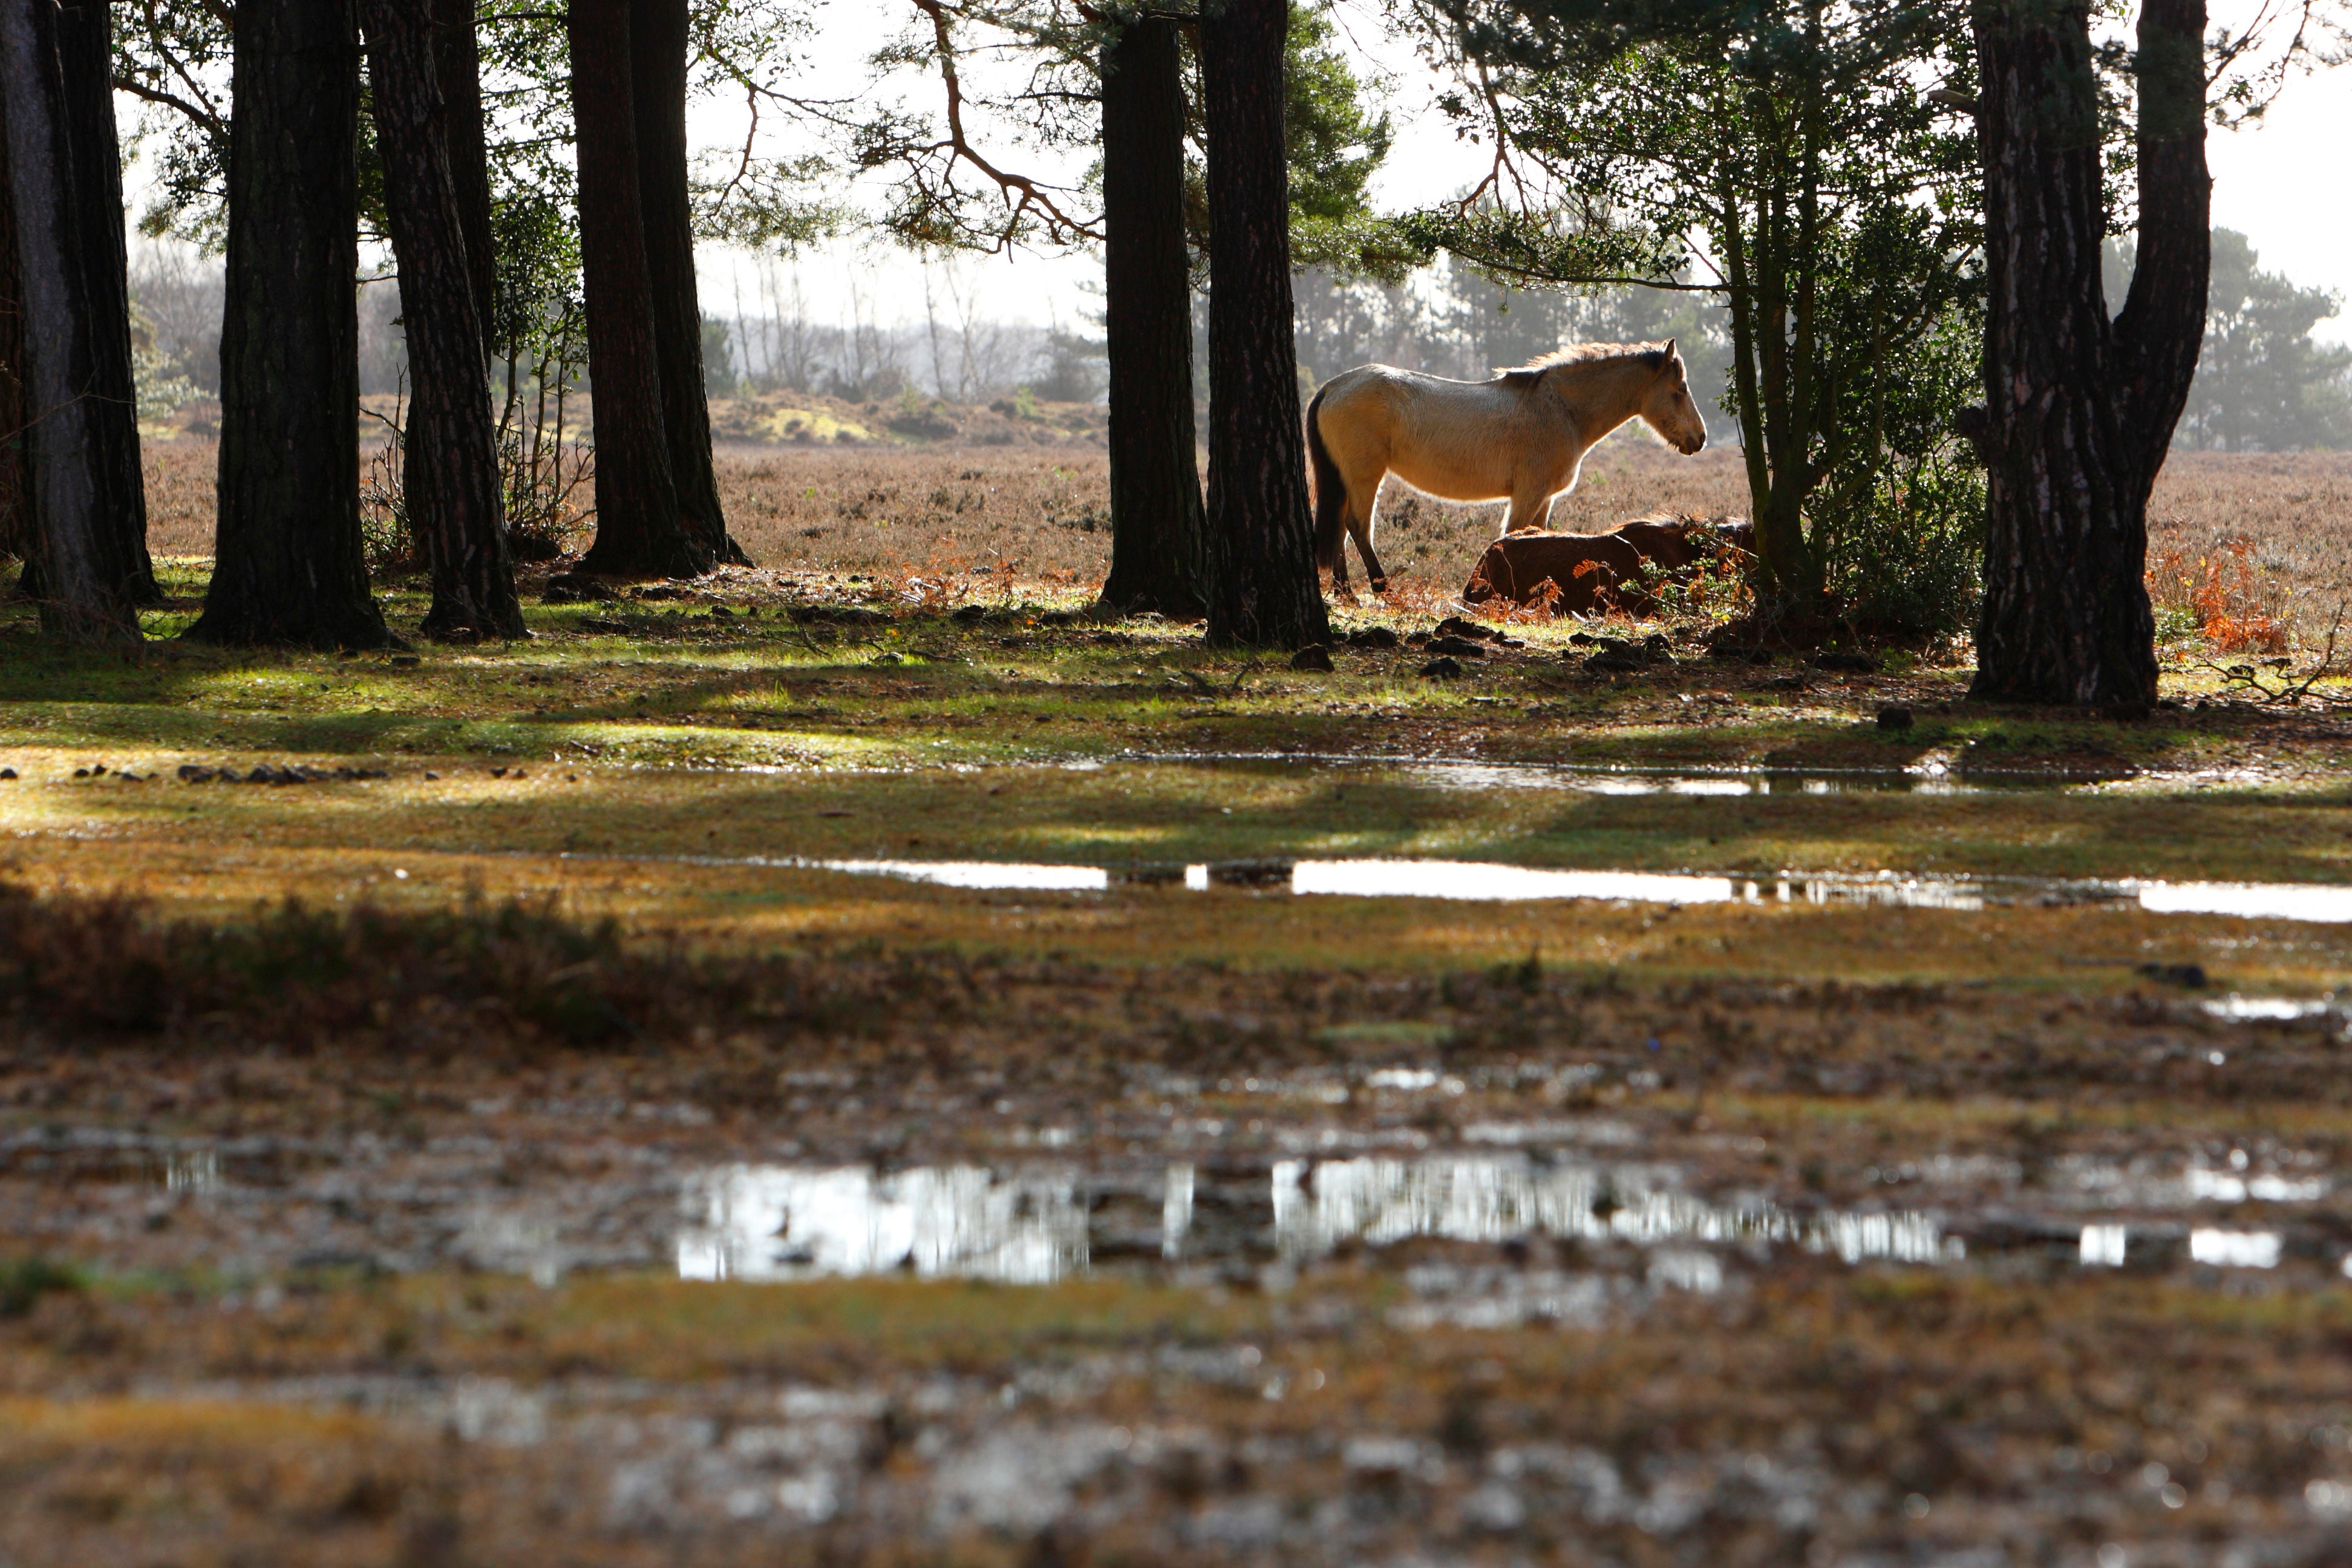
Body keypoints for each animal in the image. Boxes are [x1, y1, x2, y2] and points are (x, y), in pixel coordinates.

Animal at [1307, 341, 1712, 592]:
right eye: (1680, 389)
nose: (1701, 438)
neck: (1561, 409)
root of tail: (1333, 387)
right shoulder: (1528, 495)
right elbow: (1512, 538)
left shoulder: (1545, 499)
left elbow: (1537, 537)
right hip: (1365, 476)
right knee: (1358, 527)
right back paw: (1381, 589)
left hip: (1347, 479)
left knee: (1340, 529)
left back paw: (1346, 593)